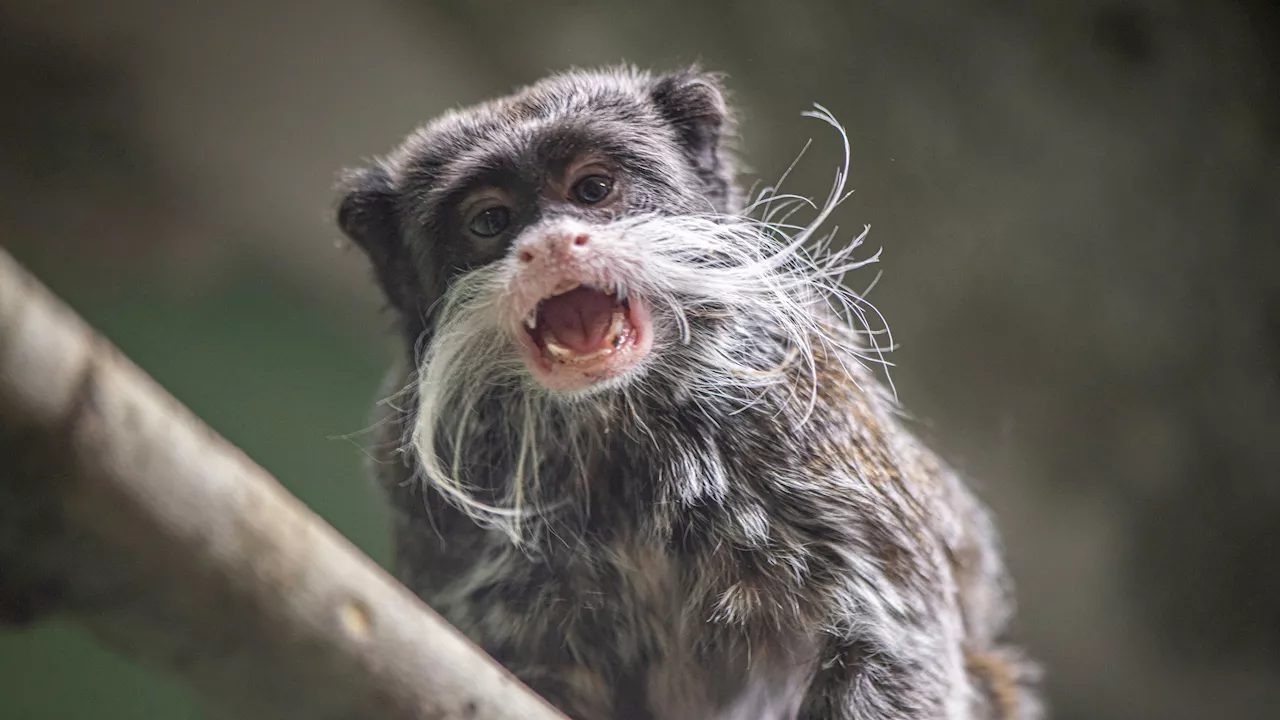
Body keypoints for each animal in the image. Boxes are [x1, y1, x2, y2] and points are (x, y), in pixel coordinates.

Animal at [337, 64, 1039, 712]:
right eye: (490, 221)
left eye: (592, 189)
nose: (552, 244)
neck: (617, 429)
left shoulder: (815, 434)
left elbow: (889, 639)